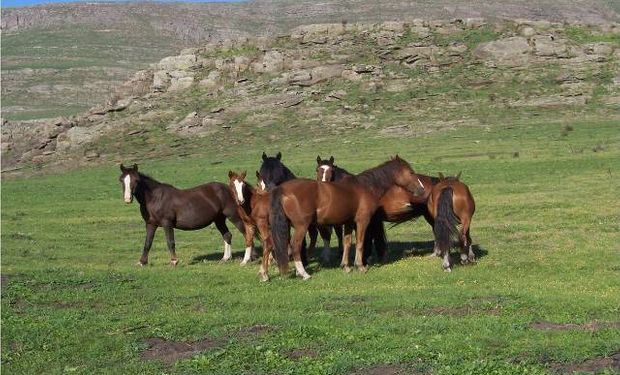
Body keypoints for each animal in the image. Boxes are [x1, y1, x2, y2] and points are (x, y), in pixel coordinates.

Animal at [268, 156, 424, 280]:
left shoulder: (348, 222)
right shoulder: (362, 221)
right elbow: (360, 242)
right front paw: (360, 266)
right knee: (295, 246)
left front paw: (346, 266)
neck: (365, 187)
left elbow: (347, 243)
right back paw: (304, 273)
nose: (421, 189)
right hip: (301, 226)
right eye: (411, 172)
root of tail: (282, 189)